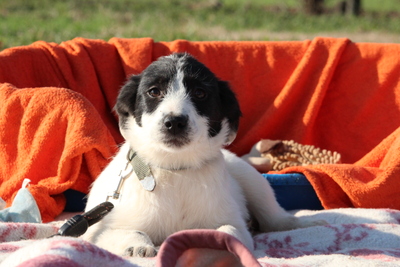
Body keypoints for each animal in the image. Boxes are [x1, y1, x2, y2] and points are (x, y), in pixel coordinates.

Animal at [82, 52, 322, 258]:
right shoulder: (98, 230)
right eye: (154, 91)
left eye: (200, 93)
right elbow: (127, 231)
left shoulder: (232, 221)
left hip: (253, 181)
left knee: (275, 218)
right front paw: (137, 245)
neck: (176, 170)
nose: (174, 122)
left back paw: (305, 223)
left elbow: (229, 230)